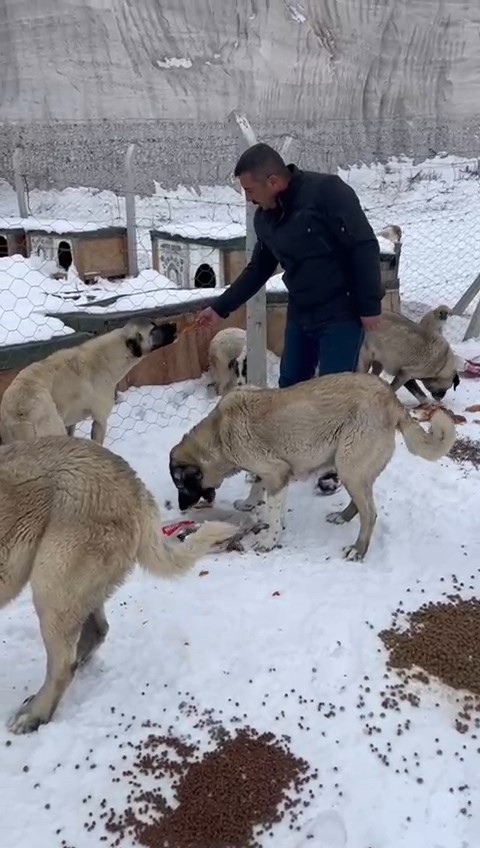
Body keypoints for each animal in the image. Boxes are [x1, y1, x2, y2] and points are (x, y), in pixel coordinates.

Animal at [0, 316, 176, 448]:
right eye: (153, 329)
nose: (174, 324)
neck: (107, 357)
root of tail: (18, 412)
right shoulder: (100, 419)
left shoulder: (70, 423)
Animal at [171, 372, 456, 560]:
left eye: (181, 486)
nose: (181, 508)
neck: (219, 434)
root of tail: (392, 400)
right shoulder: (270, 473)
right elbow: (260, 490)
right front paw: (251, 505)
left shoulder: (276, 474)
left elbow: (272, 511)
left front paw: (269, 540)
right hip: (353, 469)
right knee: (362, 504)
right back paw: (342, 517)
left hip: (349, 466)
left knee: (370, 513)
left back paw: (357, 549)